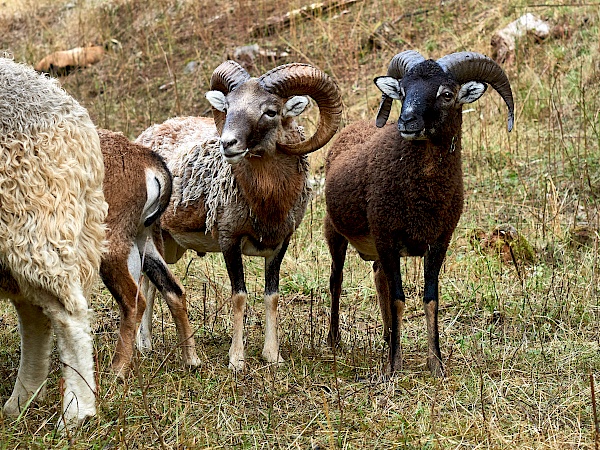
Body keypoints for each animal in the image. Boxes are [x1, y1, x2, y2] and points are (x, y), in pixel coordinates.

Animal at [97, 128, 200, 378]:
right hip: (144, 241)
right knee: (174, 290)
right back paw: (191, 359)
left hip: (112, 245)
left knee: (133, 302)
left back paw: (117, 370)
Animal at [137, 61, 342, 370]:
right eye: (229, 106)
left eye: (270, 111)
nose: (228, 143)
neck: (267, 201)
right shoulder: (229, 240)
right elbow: (239, 296)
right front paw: (237, 360)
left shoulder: (280, 244)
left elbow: (272, 296)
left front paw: (273, 356)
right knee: (147, 283)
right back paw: (144, 344)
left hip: (169, 244)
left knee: (150, 283)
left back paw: (147, 345)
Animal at [326, 51, 512, 378]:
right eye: (402, 90)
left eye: (447, 94)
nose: (406, 121)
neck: (423, 196)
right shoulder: (387, 237)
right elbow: (399, 299)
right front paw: (393, 366)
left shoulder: (438, 242)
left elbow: (430, 300)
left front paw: (436, 364)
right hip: (335, 231)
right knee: (337, 279)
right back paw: (335, 339)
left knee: (379, 278)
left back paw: (387, 335)